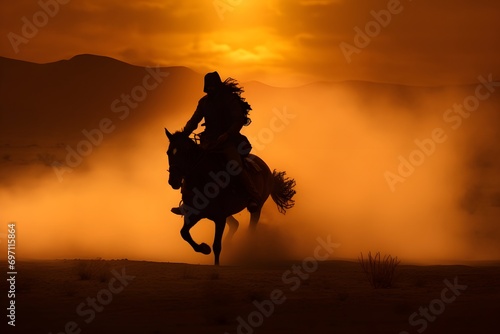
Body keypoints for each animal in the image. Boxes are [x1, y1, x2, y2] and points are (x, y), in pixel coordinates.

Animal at [164, 129, 296, 266]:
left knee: (251, 227)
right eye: (169, 152)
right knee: (235, 224)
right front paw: (204, 248)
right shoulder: (195, 214)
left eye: (185, 152)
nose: (173, 181)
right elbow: (184, 233)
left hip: (257, 207)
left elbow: (217, 246)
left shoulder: (220, 218)